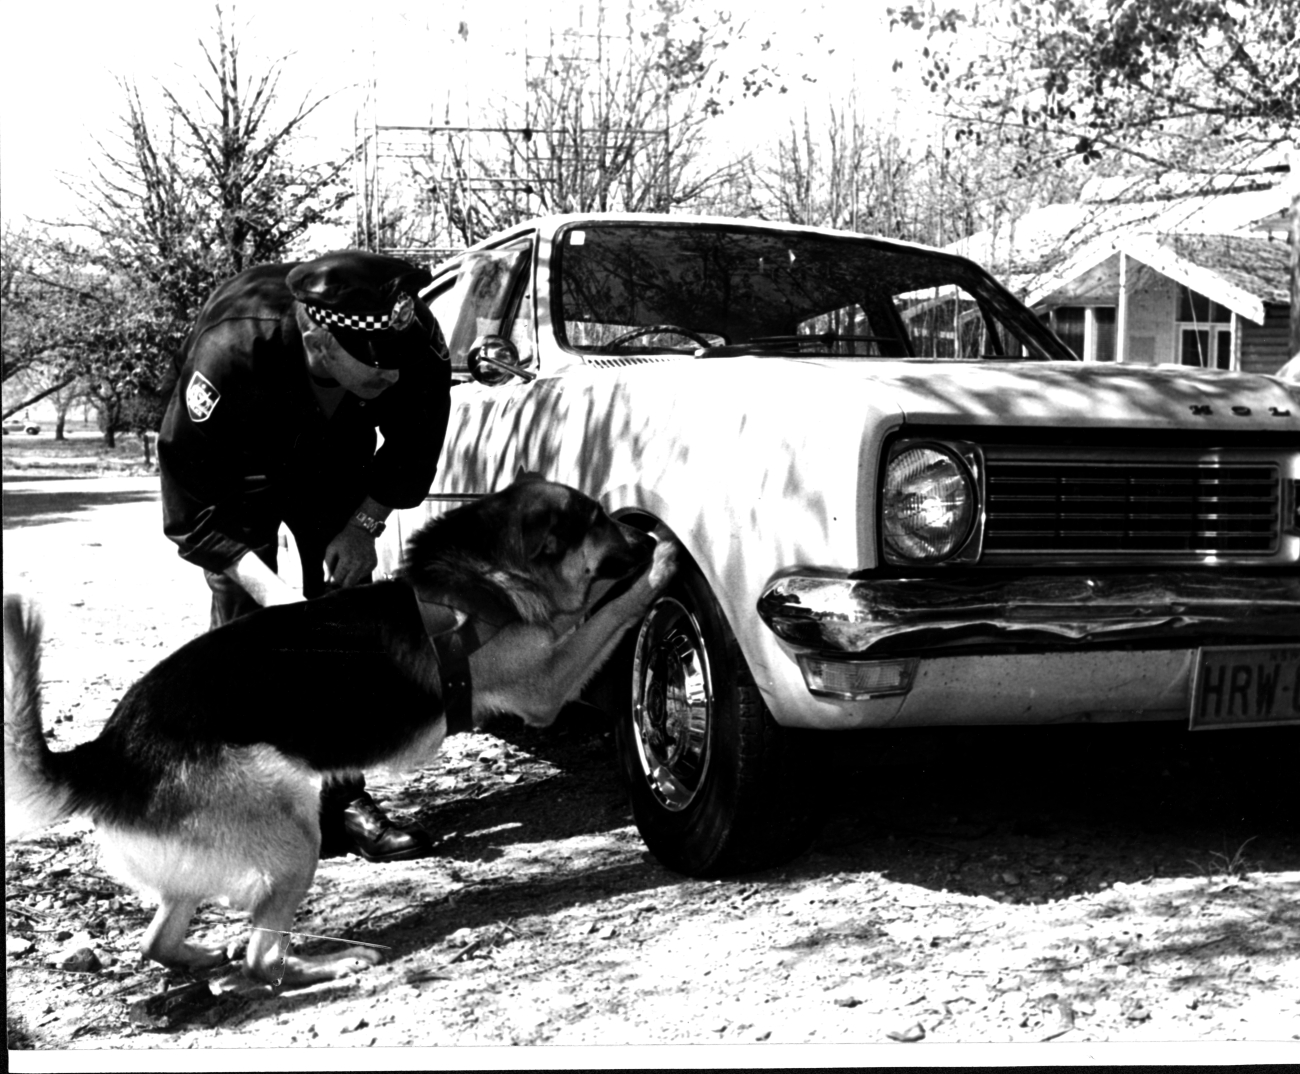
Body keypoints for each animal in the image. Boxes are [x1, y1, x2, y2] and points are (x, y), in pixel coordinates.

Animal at [5, 475, 681, 988]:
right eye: (598, 519)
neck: (481, 579)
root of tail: (103, 753)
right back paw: (331, 963)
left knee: (160, 942)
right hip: (294, 829)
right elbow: (610, 608)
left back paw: (204, 956)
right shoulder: (544, 682)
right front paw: (667, 556)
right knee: (261, 958)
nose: (642, 527)